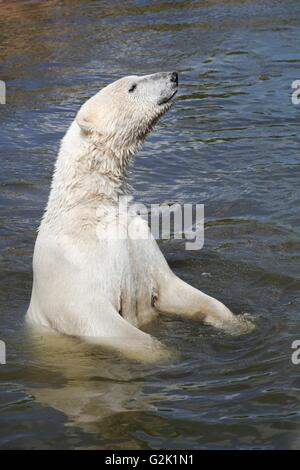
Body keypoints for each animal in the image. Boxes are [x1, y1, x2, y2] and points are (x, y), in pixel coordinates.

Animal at [25, 72, 241, 360]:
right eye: (133, 86)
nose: (173, 76)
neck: (91, 204)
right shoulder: (73, 268)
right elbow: (96, 319)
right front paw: (167, 354)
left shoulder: (138, 244)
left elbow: (171, 287)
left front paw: (240, 322)